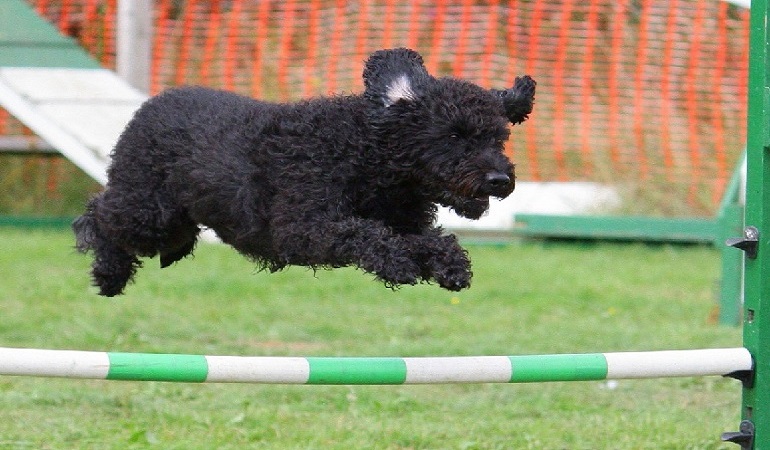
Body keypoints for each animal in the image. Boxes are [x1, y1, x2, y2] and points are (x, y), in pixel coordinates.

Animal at [73, 48, 536, 296]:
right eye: (455, 135)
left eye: (498, 138)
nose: (500, 181)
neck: (369, 158)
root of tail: (149, 106)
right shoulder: (301, 228)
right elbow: (363, 233)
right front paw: (398, 263)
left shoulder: (403, 221)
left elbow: (427, 239)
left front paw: (449, 264)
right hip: (150, 213)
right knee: (99, 215)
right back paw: (108, 271)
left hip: (175, 225)